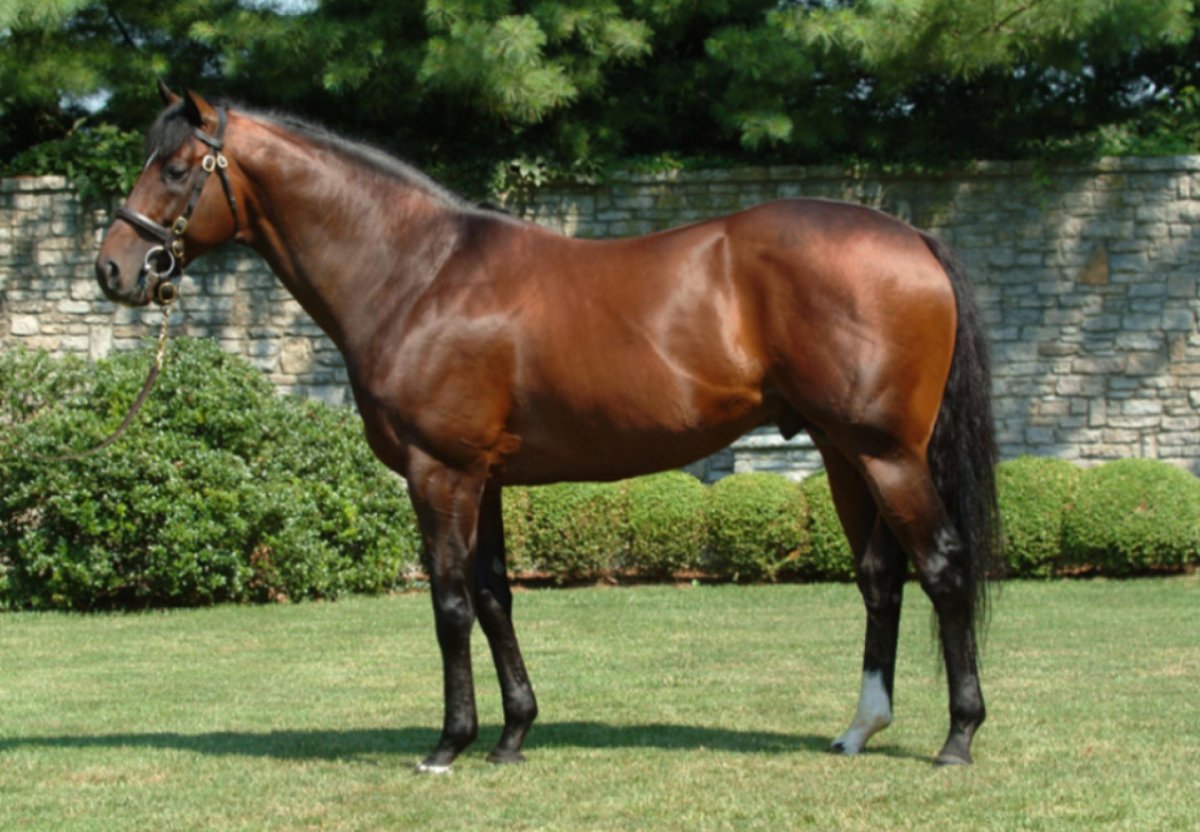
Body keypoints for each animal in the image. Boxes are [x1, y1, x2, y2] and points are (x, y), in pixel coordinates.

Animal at [96, 83, 1000, 772]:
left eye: (175, 168)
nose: (114, 268)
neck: (417, 273)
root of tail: (912, 237)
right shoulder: (486, 477)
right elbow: (496, 597)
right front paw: (512, 735)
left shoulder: (439, 472)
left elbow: (450, 603)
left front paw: (449, 746)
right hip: (845, 453)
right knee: (881, 578)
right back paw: (858, 729)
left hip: (888, 455)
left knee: (943, 568)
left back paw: (958, 738)